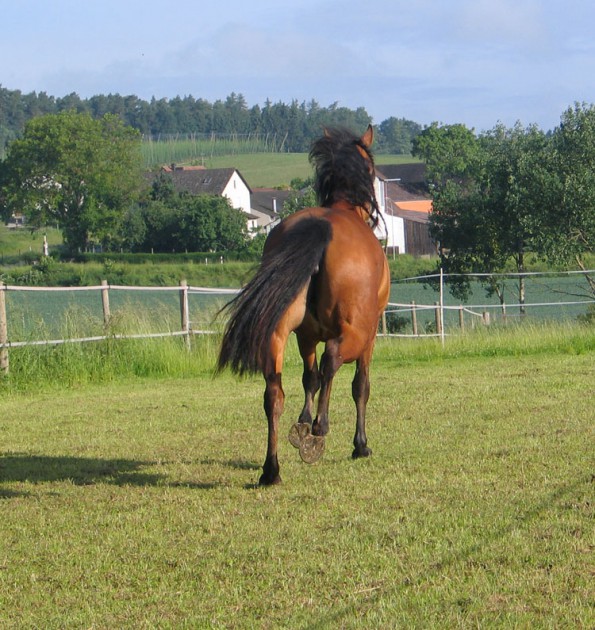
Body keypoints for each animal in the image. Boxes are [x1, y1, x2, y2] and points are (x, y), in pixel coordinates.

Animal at [219, 124, 392, 488]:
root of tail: (320, 226)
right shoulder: (369, 338)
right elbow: (360, 386)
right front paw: (360, 445)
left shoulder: (306, 336)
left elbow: (309, 379)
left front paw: (302, 421)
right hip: (355, 332)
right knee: (333, 359)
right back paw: (319, 429)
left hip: (277, 333)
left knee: (274, 394)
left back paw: (272, 469)